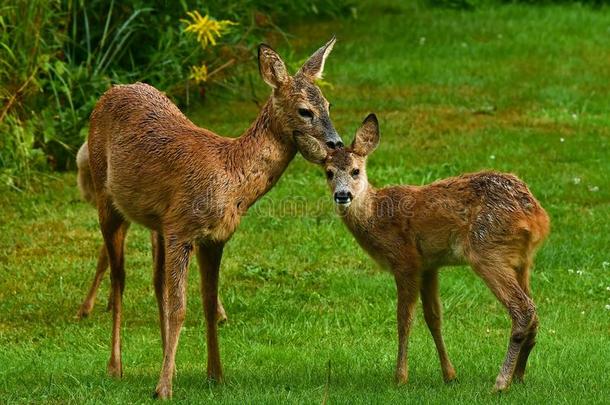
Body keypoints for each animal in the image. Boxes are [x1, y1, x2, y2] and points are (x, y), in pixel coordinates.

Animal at [84, 38, 342, 398]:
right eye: (306, 110)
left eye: (329, 104)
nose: (337, 143)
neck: (230, 174)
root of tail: (111, 92)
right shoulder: (181, 229)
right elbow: (180, 308)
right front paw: (163, 389)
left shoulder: (214, 237)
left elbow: (207, 303)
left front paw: (215, 375)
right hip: (106, 199)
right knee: (119, 278)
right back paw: (115, 366)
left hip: (156, 223)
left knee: (156, 281)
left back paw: (166, 360)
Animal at [296, 113, 548, 392]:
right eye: (329, 173)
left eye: (355, 171)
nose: (342, 195)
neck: (376, 216)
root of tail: (535, 214)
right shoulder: (429, 265)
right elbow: (433, 317)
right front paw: (450, 375)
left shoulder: (405, 260)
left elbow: (404, 319)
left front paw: (399, 377)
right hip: (522, 260)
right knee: (534, 312)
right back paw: (519, 376)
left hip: (487, 251)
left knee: (522, 308)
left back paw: (501, 382)